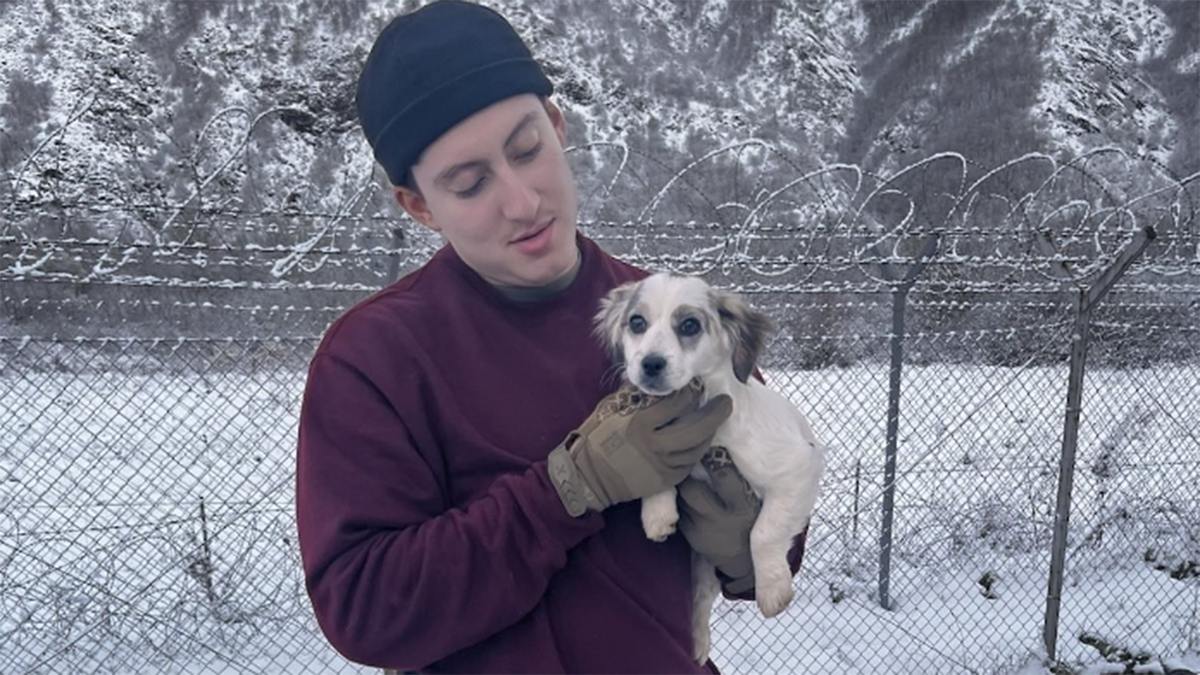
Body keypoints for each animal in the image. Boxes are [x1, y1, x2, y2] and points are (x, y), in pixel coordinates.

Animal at [592, 270, 825, 658]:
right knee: (700, 599)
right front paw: (657, 513)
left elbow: (764, 533)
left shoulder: (798, 466)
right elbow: (654, 469)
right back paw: (698, 643)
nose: (650, 364)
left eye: (689, 325)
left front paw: (772, 590)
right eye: (637, 322)